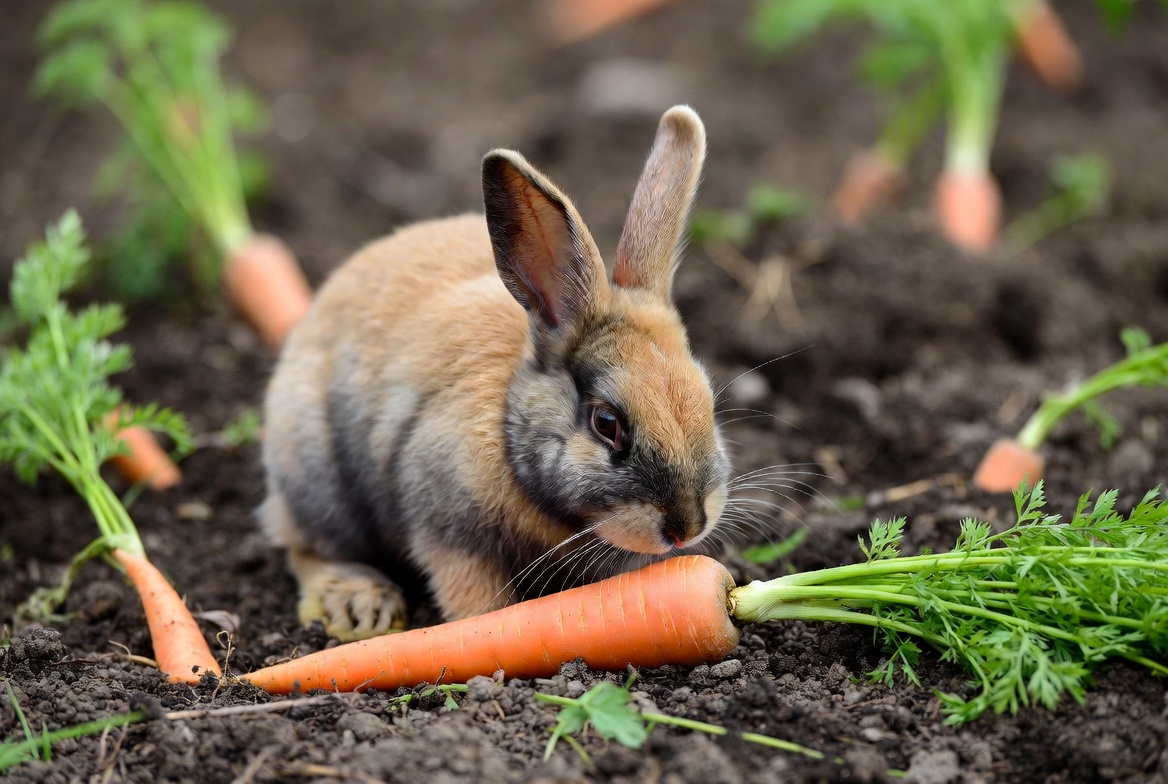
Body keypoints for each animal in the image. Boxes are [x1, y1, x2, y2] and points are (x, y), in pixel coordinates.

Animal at [259, 105, 730, 641]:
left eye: (709, 402)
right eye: (606, 423)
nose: (686, 527)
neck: (509, 425)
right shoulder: (450, 535)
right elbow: (480, 606)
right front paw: (486, 628)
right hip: (319, 483)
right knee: (306, 546)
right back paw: (360, 607)